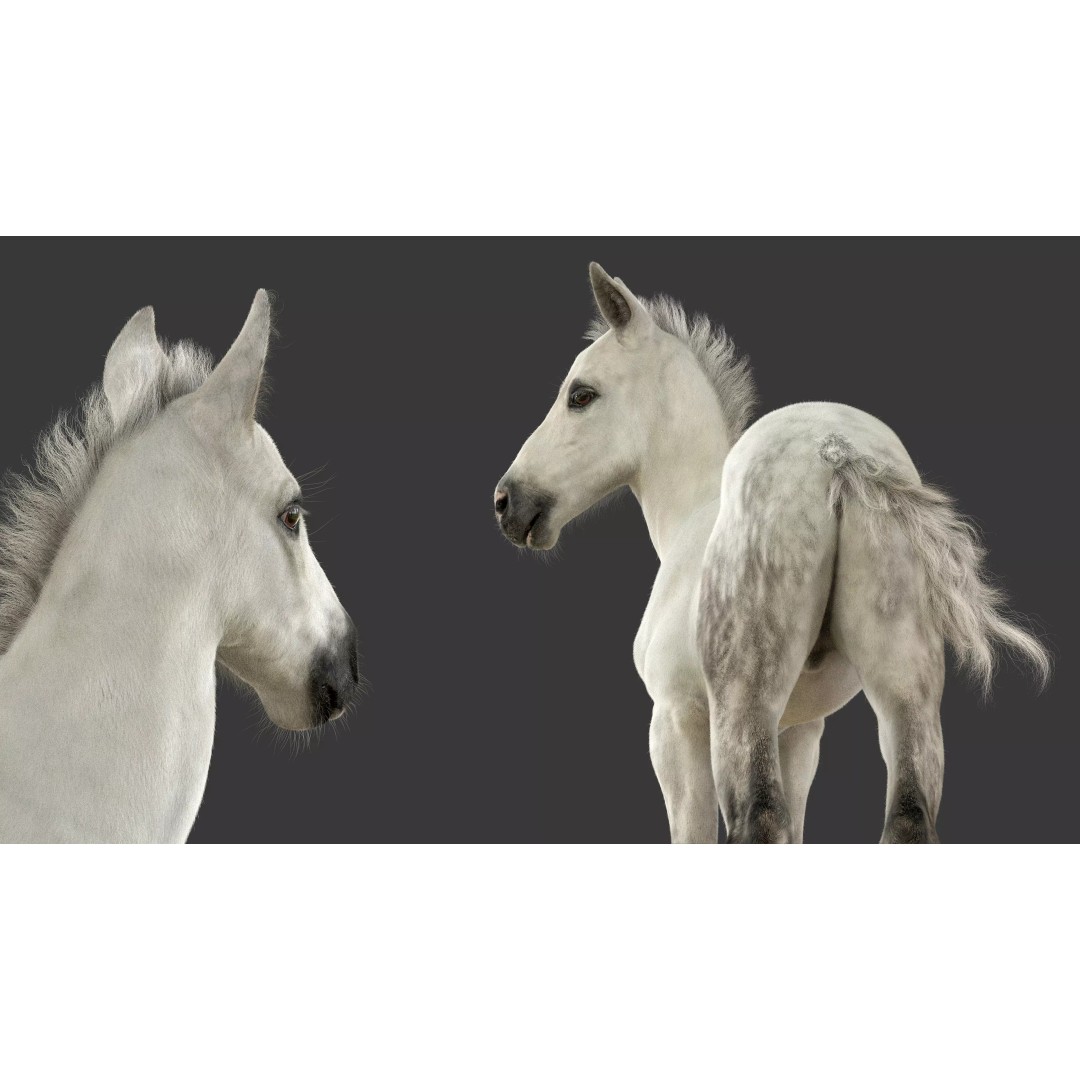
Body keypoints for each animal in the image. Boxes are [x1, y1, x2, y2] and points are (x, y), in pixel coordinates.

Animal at [494, 264, 1050, 843]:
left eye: (581, 395)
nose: (508, 502)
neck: (693, 515)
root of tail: (836, 454)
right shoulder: (800, 732)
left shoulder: (676, 721)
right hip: (906, 697)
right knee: (908, 818)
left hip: (744, 704)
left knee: (757, 818)